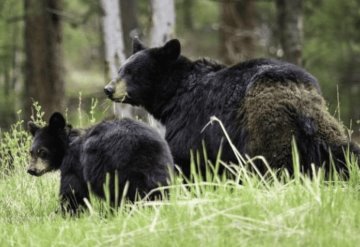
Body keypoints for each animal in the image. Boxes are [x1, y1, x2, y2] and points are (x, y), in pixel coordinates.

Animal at [27, 113, 174, 213]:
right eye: (31, 152)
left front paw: (64, 213)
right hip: (161, 165)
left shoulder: (74, 163)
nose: (31, 170)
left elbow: (73, 191)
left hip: (114, 168)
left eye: (42, 152)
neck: (68, 143)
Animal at [104, 38, 360, 178]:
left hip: (267, 128)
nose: (108, 89)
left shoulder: (191, 120)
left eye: (132, 72)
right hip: (324, 129)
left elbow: (185, 157)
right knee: (343, 152)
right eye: (121, 69)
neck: (174, 94)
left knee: (273, 164)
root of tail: (299, 102)